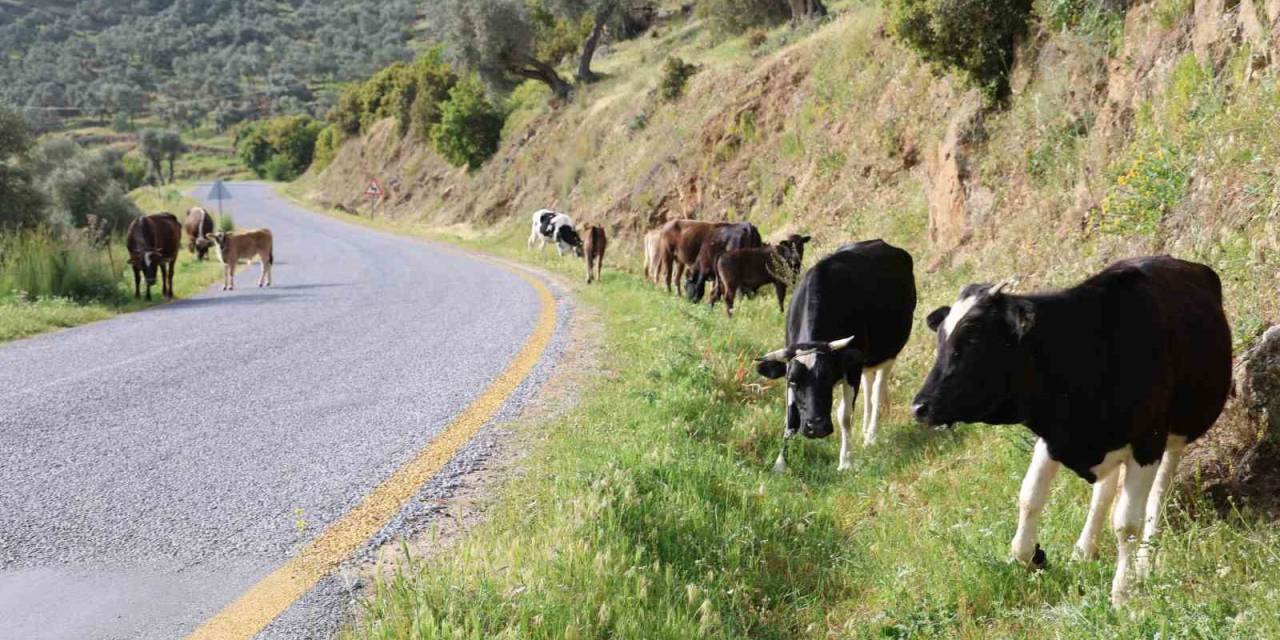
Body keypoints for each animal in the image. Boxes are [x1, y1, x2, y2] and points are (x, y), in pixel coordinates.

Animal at [752, 239, 916, 471]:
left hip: (889, 352)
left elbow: (844, 415)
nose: (817, 427)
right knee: (868, 383)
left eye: (828, 377)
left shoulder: (851, 367)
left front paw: (846, 461)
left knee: (876, 390)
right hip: (866, 359)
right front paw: (781, 463)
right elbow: (790, 419)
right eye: (793, 381)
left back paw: (871, 435)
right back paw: (865, 430)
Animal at [911, 254, 1228, 604]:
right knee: (1103, 494)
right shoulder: (1053, 437)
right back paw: (1083, 552)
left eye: (972, 340)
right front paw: (1032, 557)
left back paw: (1145, 562)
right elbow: (1029, 497)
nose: (920, 407)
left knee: (1156, 494)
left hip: (1176, 435)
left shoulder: (1147, 441)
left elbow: (1127, 524)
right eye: (941, 341)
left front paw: (1123, 592)